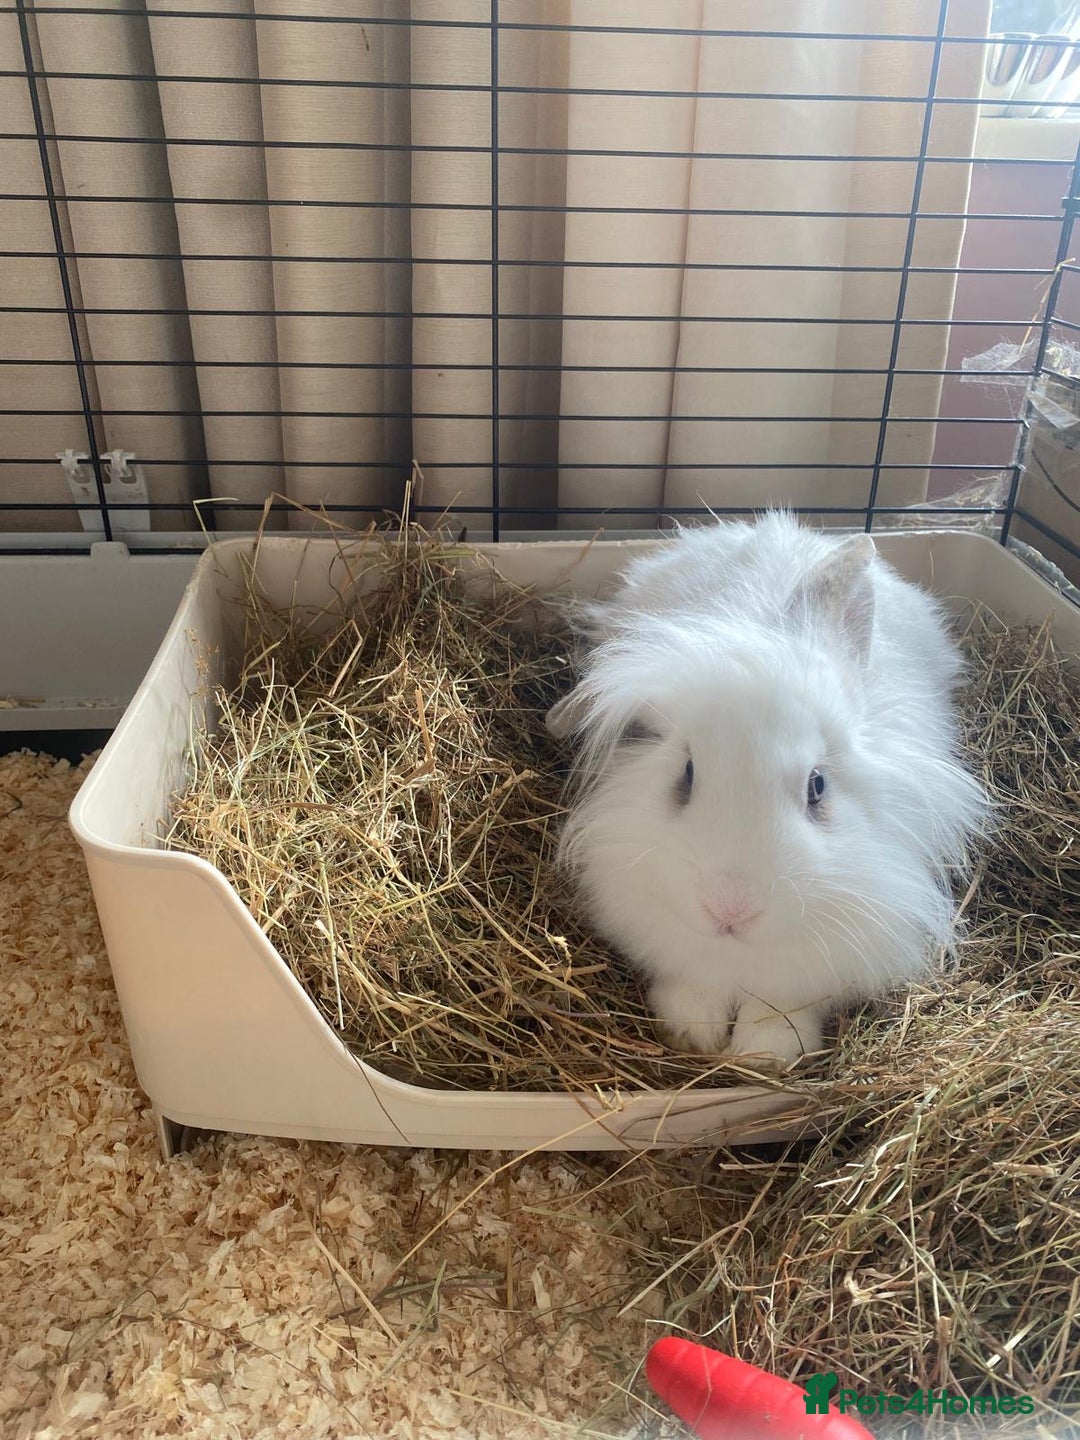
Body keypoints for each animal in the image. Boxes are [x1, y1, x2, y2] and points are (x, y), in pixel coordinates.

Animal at [545, 512, 988, 1064]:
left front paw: (767, 1054)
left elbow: (783, 1006)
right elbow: (693, 986)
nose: (730, 908)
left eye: (817, 785)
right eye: (687, 773)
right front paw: (693, 1032)